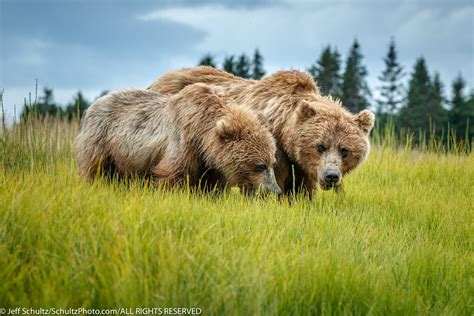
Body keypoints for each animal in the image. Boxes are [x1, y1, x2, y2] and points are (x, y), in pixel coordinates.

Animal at [74, 81, 282, 195]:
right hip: (101, 138)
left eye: (272, 161)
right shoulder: (183, 138)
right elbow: (174, 172)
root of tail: (94, 104)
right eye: (260, 165)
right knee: (96, 168)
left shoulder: (209, 160)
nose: (276, 190)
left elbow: (210, 184)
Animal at [148, 66, 374, 196]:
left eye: (345, 150)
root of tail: (160, 79)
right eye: (320, 146)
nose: (331, 176)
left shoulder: (304, 166)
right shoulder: (274, 151)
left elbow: (302, 189)